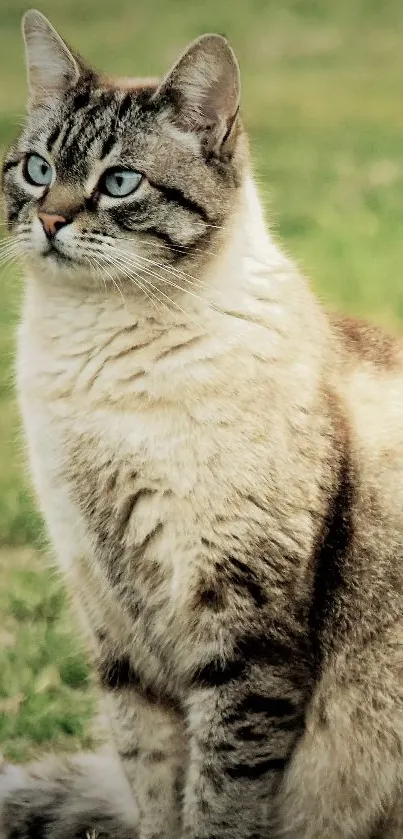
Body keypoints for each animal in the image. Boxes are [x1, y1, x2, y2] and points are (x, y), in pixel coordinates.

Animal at [0, 8, 403, 839]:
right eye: (37, 169)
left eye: (119, 182)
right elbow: (157, 780)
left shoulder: (242, 626)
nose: (50, 219)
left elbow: (222, 792)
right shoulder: (113, 622)